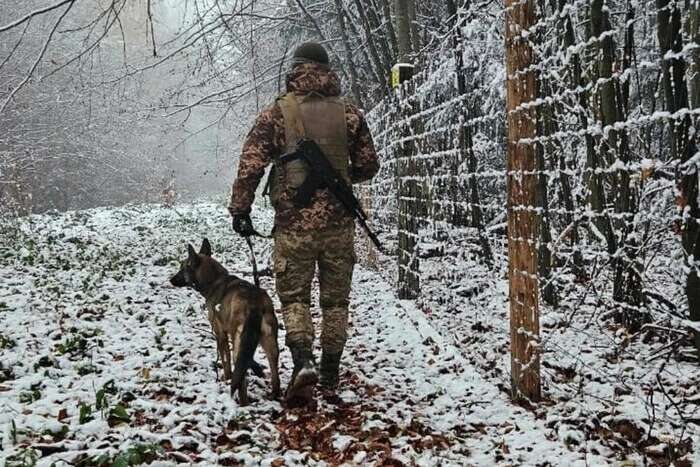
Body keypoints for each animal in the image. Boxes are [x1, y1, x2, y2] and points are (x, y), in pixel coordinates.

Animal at [169, 239, 278, 404]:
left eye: (183, 267)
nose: (171, 280)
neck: (214, 280)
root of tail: (255, 303)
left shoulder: (220, 334)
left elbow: (226, 362)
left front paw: (225, 379)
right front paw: (258, 369)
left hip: (240, 344)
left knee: (241, 377)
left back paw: (242, 402)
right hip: (271, 344)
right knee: (274, 373)